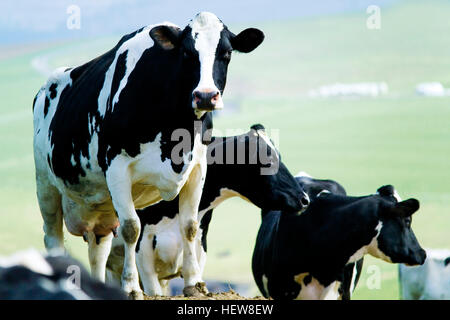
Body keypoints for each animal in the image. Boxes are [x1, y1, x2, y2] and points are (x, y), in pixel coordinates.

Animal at [33, 11, 266, 298]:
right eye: (187, 52)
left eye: (227, 53)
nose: (205, 96)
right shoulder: (117, 168)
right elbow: (131, 228)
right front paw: (131, 287)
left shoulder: (198, 167)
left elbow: (189, 226)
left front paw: (194, 283)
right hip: (46, 186)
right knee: (53, 236)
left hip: (100, 208)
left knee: (98, 249)